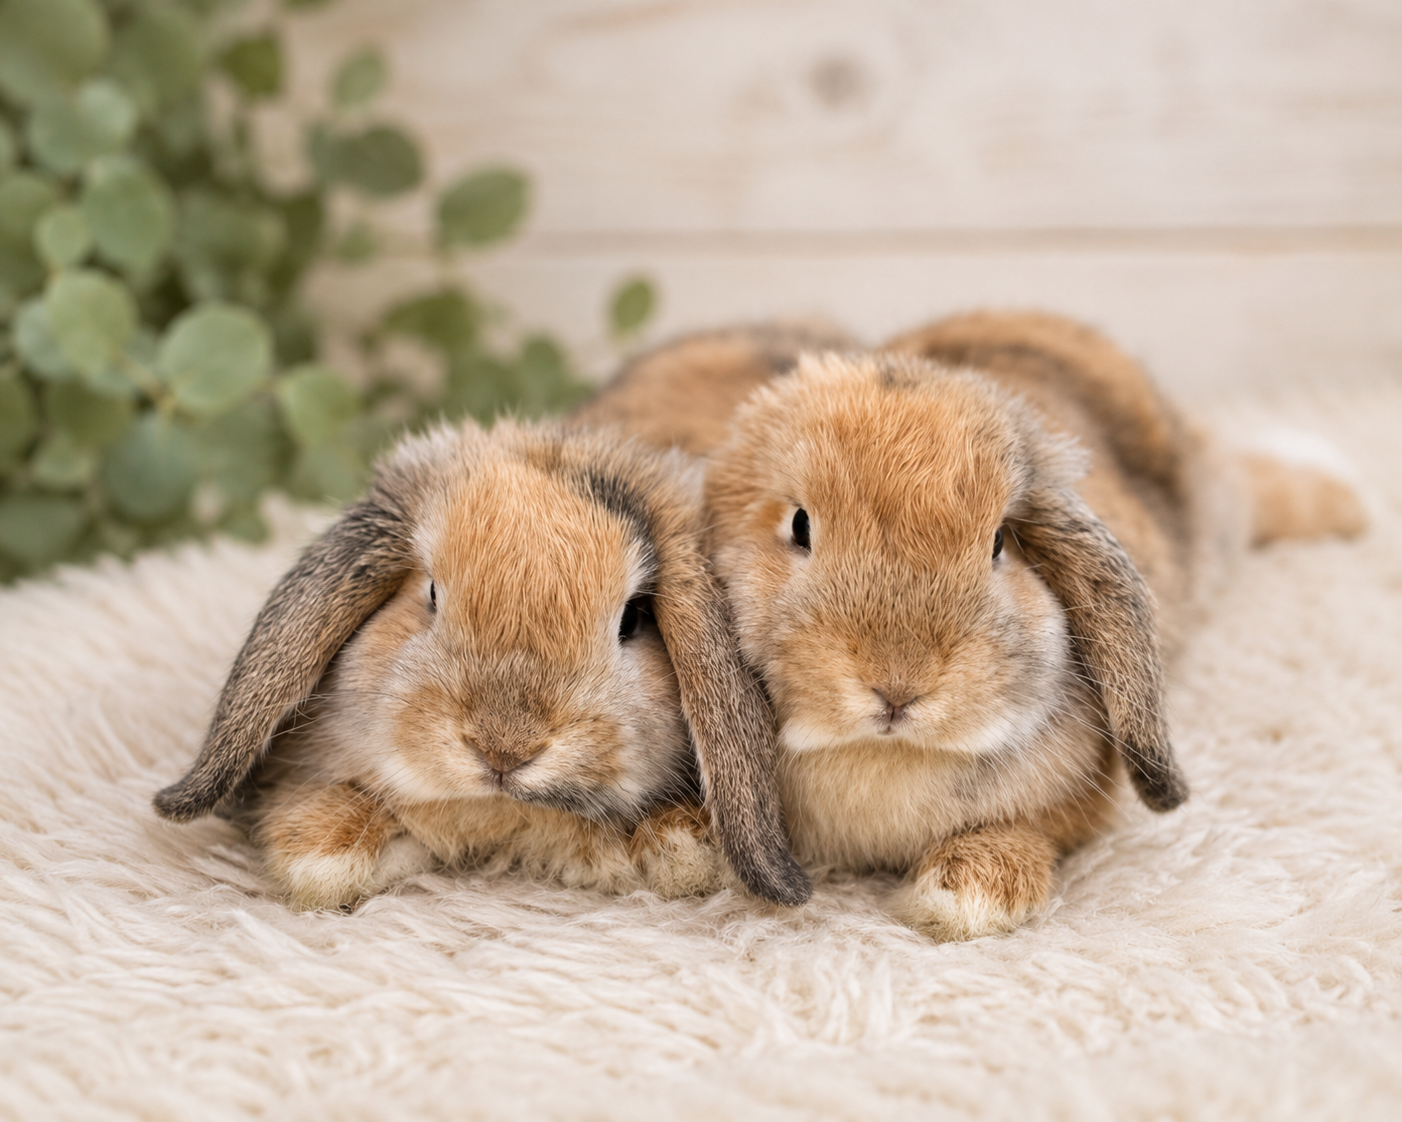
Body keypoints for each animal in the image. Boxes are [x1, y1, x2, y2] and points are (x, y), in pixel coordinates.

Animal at [581, 310, 1366, 939]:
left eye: (998, 544)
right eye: (799, 526)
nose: (897, 686)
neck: (883, 758)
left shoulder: (1075, 807)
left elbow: (1029, 832)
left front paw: (965, 895)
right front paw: (678, 845)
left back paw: (1347, 499)